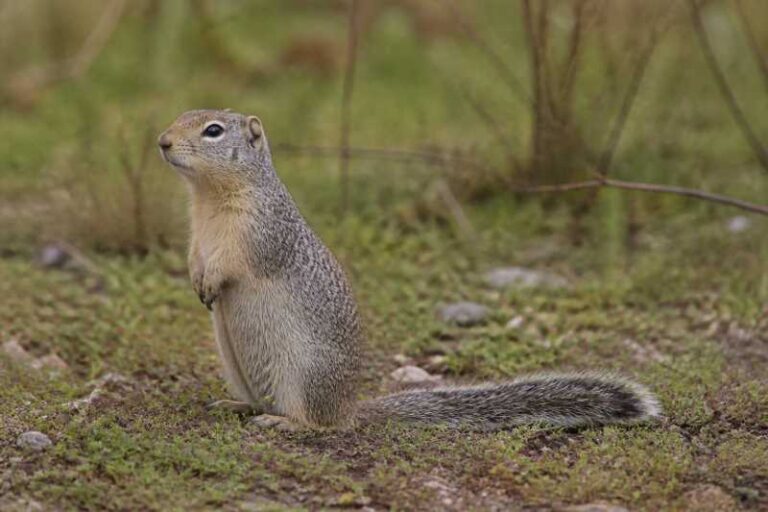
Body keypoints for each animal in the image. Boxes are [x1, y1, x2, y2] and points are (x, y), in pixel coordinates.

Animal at [158, 109, 661, 431]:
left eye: (213, 131)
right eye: (180, 115)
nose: (162, 141)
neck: (208, 197)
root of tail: (350, 408)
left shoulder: (260, 232)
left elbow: (235, 262)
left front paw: (212, 280)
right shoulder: (195, 233)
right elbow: (194, 255)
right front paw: (196, 280)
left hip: (306, 378)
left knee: (323, 426)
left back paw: (285, 424)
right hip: (235, 365)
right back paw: (236, 406)